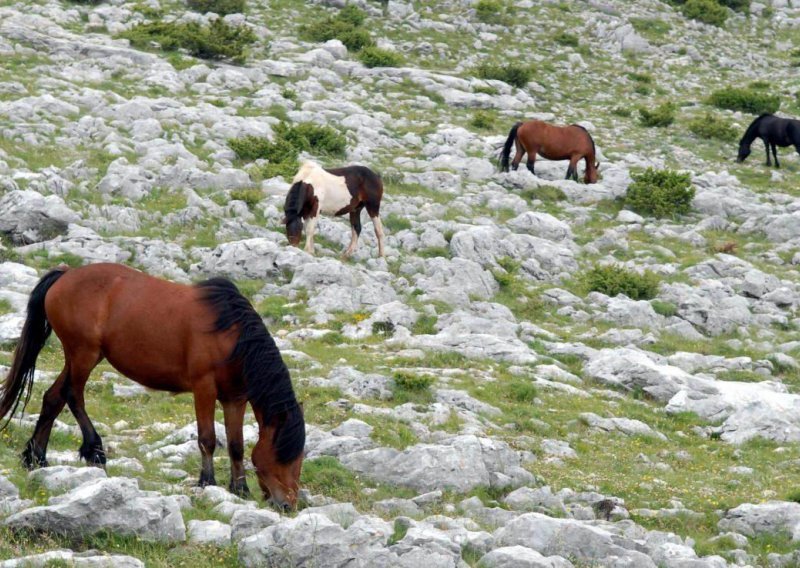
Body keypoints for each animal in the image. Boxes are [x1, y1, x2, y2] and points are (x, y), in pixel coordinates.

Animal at [0, 262, 304, 510]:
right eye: (284, 454)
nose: (288, 505)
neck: (232, 335)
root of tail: (66, 274)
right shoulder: (204, 388)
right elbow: (207, 438)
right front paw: (207, 482)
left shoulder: (235, 397)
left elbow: (236, 444)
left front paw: (240, 488)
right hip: (83, 354)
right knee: (73, 395)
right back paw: (94, 450)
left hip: (83, 356)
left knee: (53, 397)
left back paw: (36, 457)